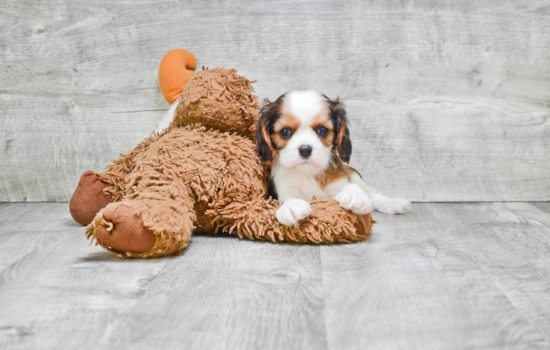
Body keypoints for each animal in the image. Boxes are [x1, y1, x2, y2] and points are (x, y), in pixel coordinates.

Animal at [256, 90, 412, 227]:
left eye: (322, 130)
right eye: (285, 132)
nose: (305, 149)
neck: (308, 174)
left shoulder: (339, 183)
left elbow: (351, 187)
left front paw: (355, 196)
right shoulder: (284, 188)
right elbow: (288, 199)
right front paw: (291, 206)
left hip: (352, 173)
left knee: (372, 195)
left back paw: (393, 203)